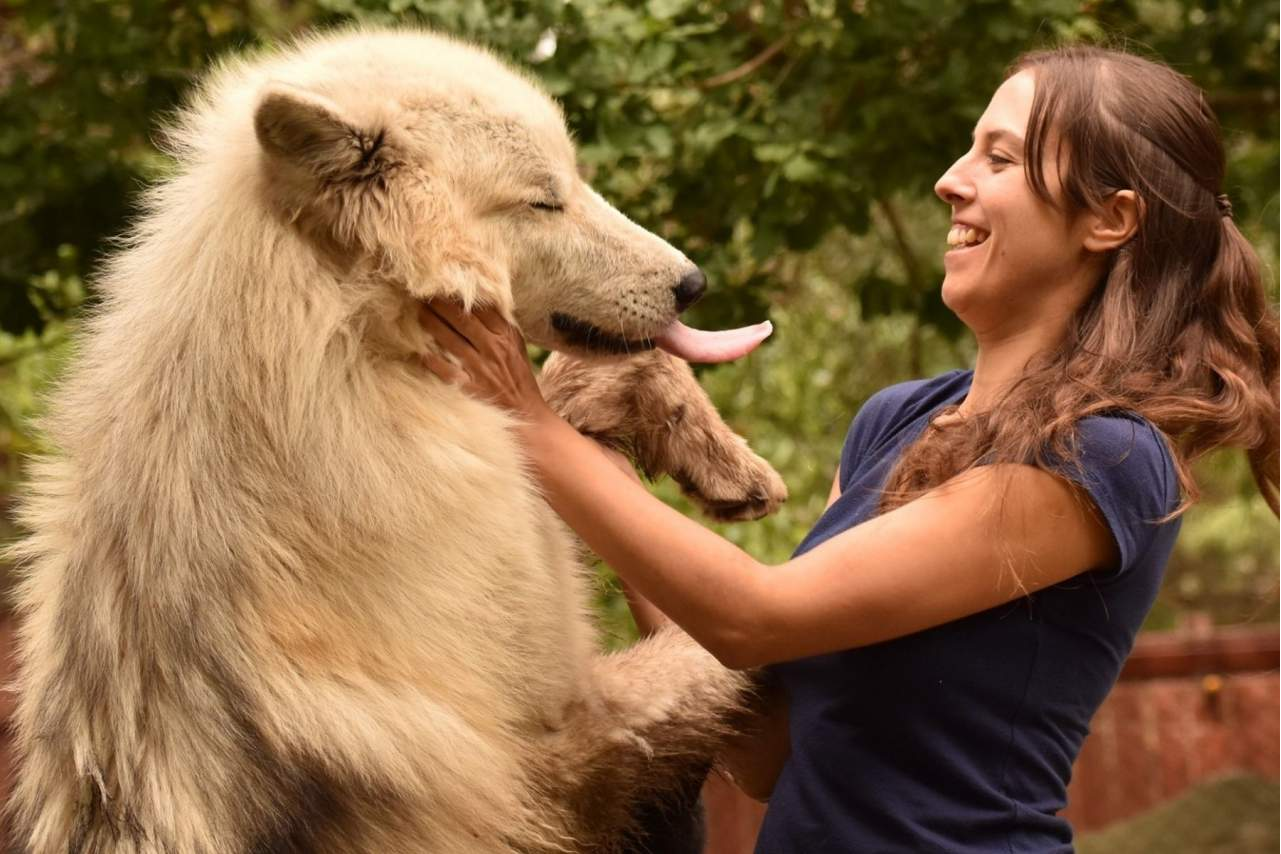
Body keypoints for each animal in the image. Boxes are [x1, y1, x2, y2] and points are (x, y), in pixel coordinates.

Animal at [5, 27, 786, 854]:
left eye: (576, 181)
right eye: (544, 200)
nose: (693, 284)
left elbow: (604, 382)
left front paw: (732, 471)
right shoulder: (549, 742)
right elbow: (725, 641)